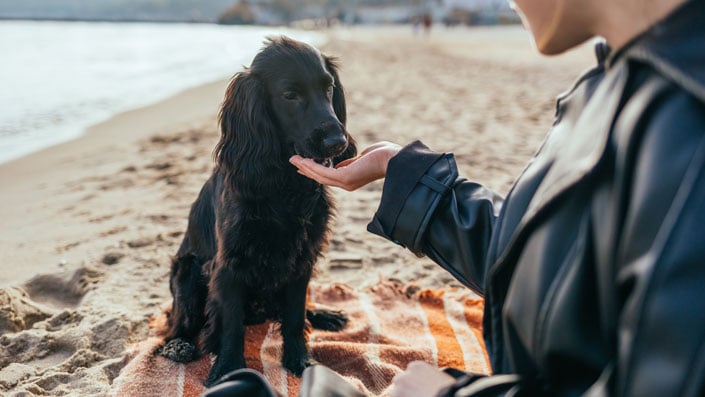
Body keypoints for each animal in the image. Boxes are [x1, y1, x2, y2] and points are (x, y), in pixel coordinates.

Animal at [162, 36, 354, 384]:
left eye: (329, 87)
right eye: (290, 95)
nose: (338, 142)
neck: (283, 186)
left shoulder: (302, 258)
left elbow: (294, 316)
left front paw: (299, 361)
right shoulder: (229, 265)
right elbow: (231, 324)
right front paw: (227, 369)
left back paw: (324, 315)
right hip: (187, 270)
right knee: (175, 323)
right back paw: (178, 345)